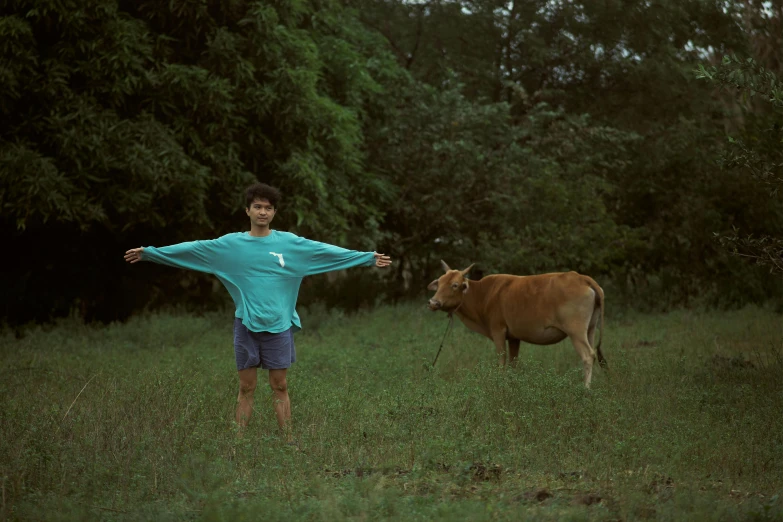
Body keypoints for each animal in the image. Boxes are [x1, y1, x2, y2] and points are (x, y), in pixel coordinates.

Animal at [428, 260, 608, 386]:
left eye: (454, 285)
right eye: (440, 282)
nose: (433, 302)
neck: (483, 294)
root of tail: (583, 278)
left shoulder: (498, 331)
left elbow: (502, 362)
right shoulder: (514, 337)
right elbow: (513, 363)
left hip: (576, 331)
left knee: (588, 355)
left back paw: (585, 389)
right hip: (590, 329)